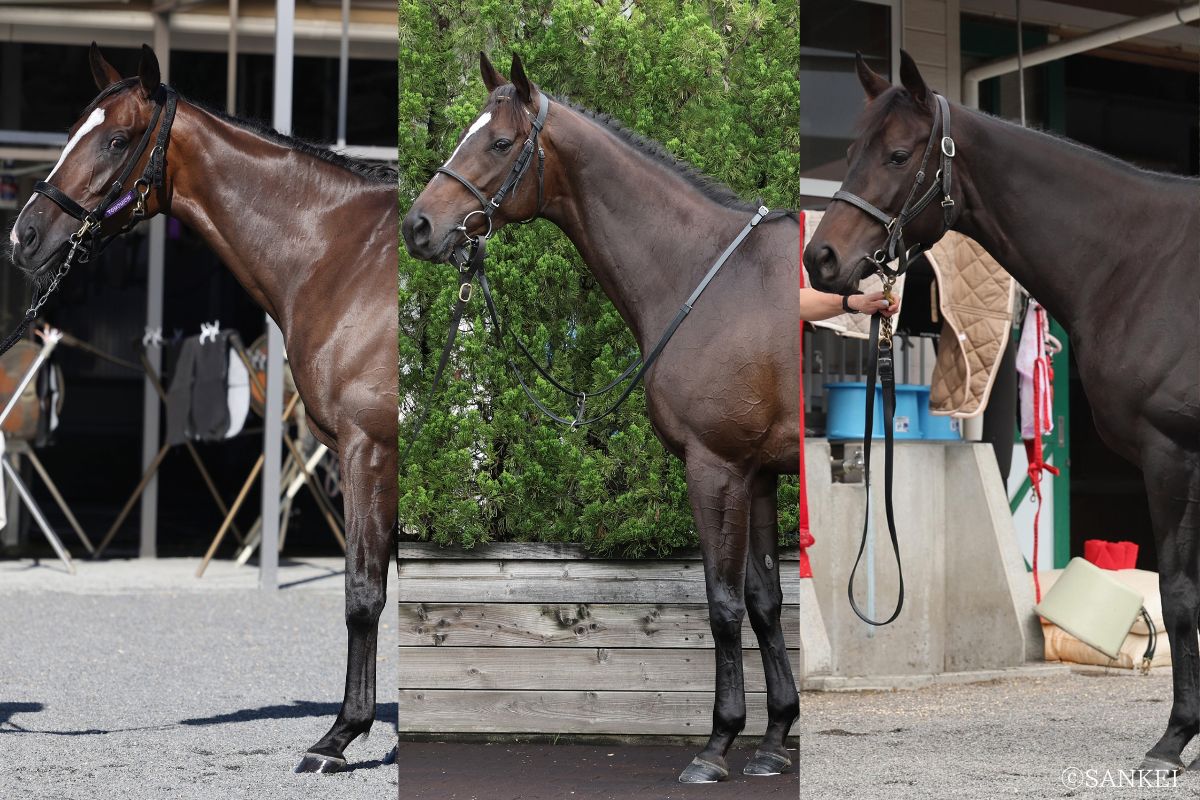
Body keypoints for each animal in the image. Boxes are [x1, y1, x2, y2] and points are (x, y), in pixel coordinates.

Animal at [6, 44, 398, 774]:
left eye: (117, 139)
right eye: (72, 129)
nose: (24, 236)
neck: (344, 256)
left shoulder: (369, 451)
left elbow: (363, 592)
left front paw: (338, 738)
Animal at [402, 52, 801, 783]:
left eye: (499, 142)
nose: (419, 226)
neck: (712, 281)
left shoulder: (717, 467)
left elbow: (723, 603)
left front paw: (717, 744)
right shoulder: (758, 474)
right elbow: (764, 601)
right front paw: (771, 739)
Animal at [804, 51, 1200, 774]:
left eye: (898, 154)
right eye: (848, 152)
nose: (822, 259)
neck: (1142, 264)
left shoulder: (1171, 453)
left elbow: (1181, 594)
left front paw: (1172, 739)